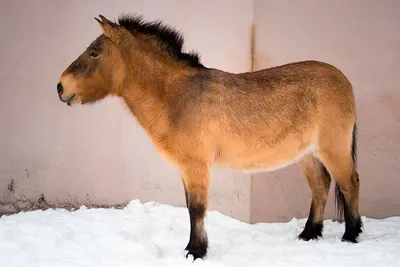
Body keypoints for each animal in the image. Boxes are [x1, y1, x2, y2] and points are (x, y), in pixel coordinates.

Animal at [57, 14, 362, 260]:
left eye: (94, 53)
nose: (60, 87)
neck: (177, 96)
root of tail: (343, 80)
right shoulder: (186, 168)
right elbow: (191, 208)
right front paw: (192, 248)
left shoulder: (196, 166)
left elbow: (197, 208)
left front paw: (196, 251)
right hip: (307, 154)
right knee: (321, 185)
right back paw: (309, 234)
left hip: (332, 149)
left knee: (349, 183)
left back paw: (351, 235)